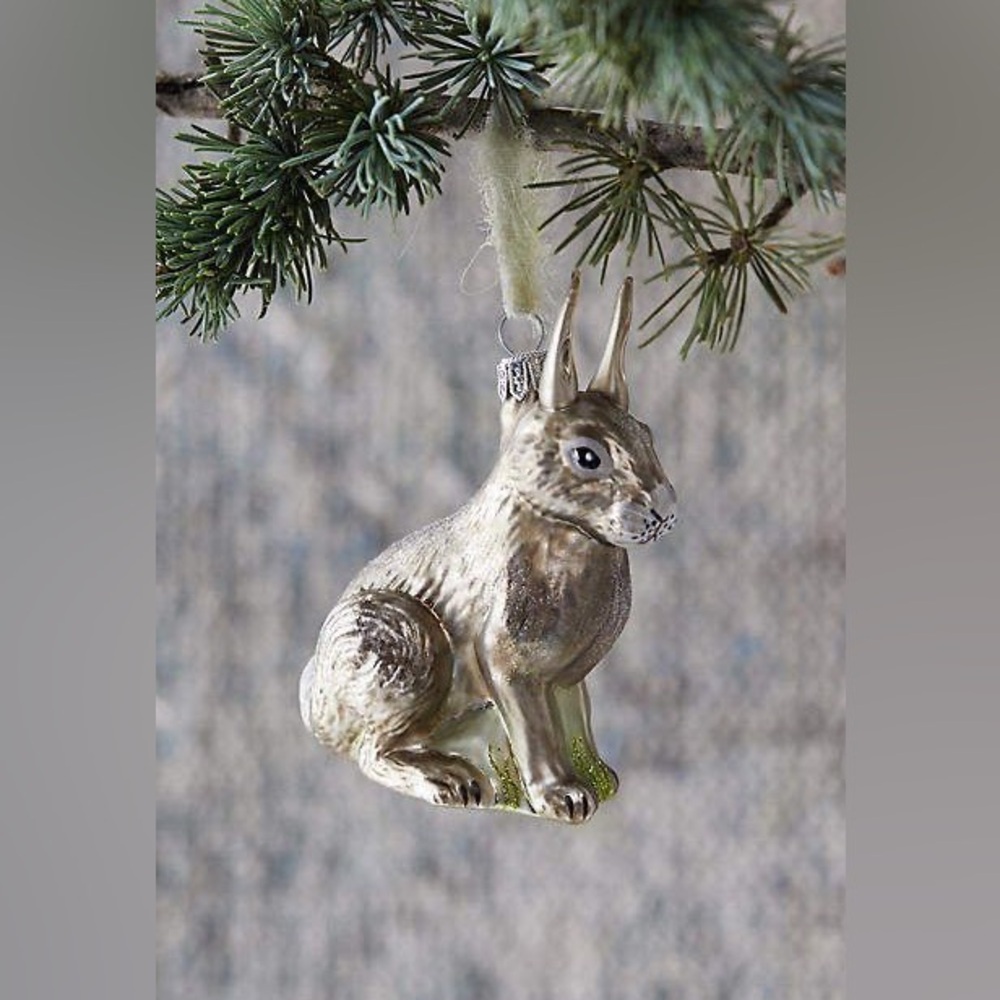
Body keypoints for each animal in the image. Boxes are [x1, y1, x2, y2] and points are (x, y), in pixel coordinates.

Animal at [299, 272, 677, 823]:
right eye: (587, 456)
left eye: (647, 434)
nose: (664, 511)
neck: (559, 529)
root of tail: (315, 704)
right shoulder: (509, 665)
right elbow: (534, 731)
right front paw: (561, 797)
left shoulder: (566, 679)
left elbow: (577, 720)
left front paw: (600, 779)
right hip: (401, 645)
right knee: (372, 752)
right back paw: (452, 781)